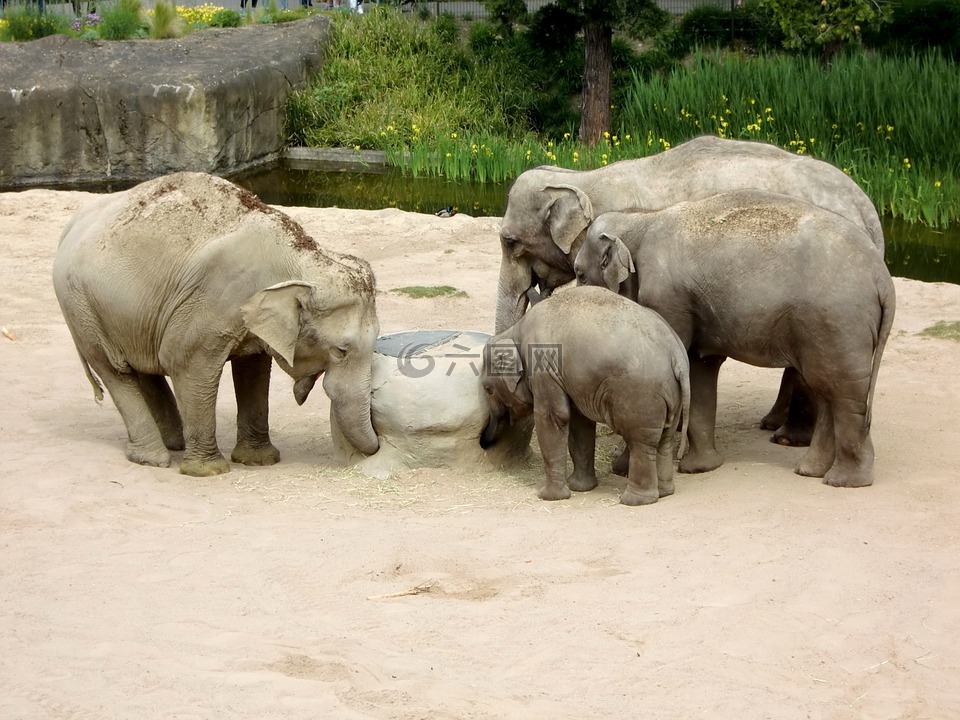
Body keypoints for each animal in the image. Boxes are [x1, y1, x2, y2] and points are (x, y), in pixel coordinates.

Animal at [53, 172, 380, 476]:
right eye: (340, 351)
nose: (375, 445)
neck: (299, 258)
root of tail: (70, 227)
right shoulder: (209, 301)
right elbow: (185, 363)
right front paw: (208, 471)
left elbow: (253, 369)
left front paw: (259, 461)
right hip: (80, 307)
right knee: (115, 370)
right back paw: (154, 458)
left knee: (142, 366)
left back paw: (175, 443)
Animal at [480, 286, 690, 506]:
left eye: (488, 389)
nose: (485, 442)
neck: (515, 331)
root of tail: (676, 353)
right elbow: (579, 422)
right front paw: (579, 488)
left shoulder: (544, 370)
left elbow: (553, 417)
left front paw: (548, 497)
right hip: (671, 395)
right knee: (664, 439)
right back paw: (664, 492)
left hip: (641, 395)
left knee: (641, 442)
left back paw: (635, 500)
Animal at [573, 190, 896, 488]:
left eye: (580, 275)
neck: (643, 218)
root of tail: (883, 277)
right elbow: (700, 370)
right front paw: (701, 468)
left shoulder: (666, 298)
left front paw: (621, 467)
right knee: (830, 390)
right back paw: (811, 471)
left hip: (838, 324)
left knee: (843, 393)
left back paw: (845, 480)